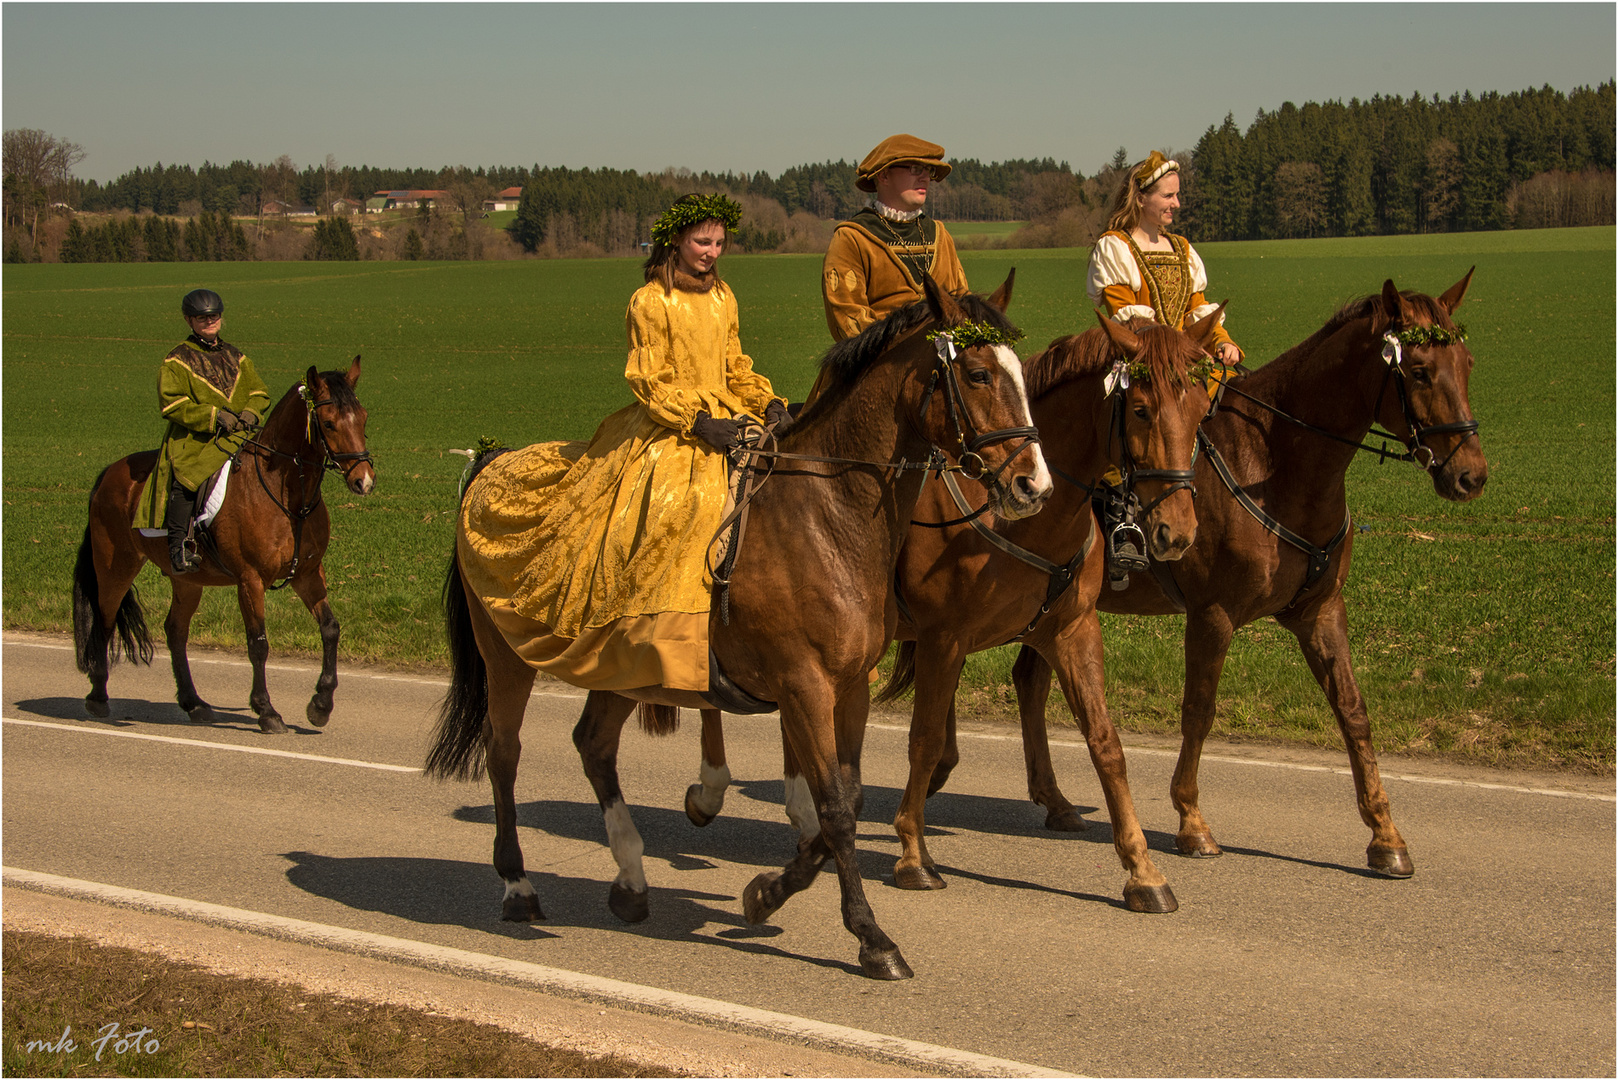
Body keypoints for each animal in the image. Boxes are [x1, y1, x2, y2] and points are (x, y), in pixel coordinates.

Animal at [74, 361, 373, 735]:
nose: (364, 480)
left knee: (175, 631)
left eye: (363, 418)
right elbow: (258, 644)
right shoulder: (250, 580)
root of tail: (110, 473)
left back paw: (194, 703)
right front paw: (267, 711)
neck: (286, 495)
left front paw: (321, 704)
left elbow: (330, 629)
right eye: (329, 423)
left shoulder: (307, 574)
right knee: (104, 620)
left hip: (186, 580)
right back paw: (98, 696)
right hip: (116, 565)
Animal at [423, 276, 1054, 977]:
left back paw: (631, 880)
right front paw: (871, 937)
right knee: (504, 752)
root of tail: (491, 459)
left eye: (1017, 371)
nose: (1034, 484)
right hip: (506, 656)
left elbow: (847, 800)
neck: (825, 513)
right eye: (976, 373)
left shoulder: (848, 687)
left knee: (593, 745)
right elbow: (835, 809)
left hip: (620, 665)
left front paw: (766, 894)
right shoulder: (803, 685)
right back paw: (518, 886)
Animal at [1009, 270, 1488, 880]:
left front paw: (1385, 834)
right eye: (1421, 370)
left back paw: (1056, 802)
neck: (1274, 464)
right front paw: (1192, 823)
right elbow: (1198, 711)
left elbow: (1353, 712)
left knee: (1030, 682)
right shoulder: (1212, 616)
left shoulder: (1320, 612)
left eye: (1468, 363)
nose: (1471, 475)